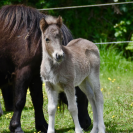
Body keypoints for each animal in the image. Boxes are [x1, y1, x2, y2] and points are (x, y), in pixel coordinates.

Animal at [0, 4, 90, 132]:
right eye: (82, 95)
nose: (87, 123)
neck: (32, 38)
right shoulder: (23, 73)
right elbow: (19, 101)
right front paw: (16, 127)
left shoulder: (35, 76)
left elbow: (38, 100)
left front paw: (42, 126)